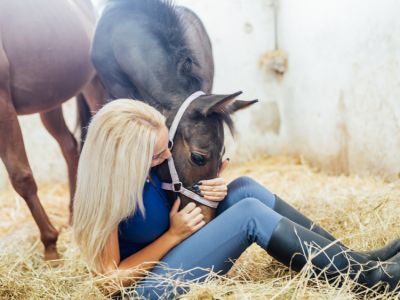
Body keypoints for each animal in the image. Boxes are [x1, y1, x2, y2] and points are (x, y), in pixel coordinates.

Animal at [0, 0, 104, 260]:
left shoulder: (2, 105)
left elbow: (21, 177)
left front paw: (50, 246)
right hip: (50, 101)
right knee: (70, 147)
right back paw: (73, 217)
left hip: (95, 86)